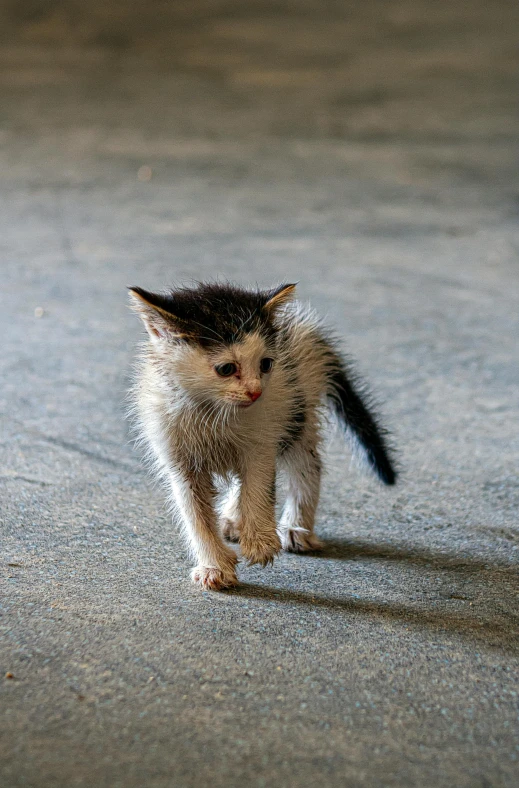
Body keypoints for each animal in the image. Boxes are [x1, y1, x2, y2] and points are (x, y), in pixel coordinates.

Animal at [128, 284, 396, 592]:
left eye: (266, 364)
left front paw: (259, 542)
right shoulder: (178, 455)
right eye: (226, 369)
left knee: (307, 465)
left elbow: (258, 486)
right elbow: (195, 515)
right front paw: (214, 566)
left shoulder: (262, 437)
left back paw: (295, 528)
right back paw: (234, 519)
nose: (255, 392)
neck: (212, 410)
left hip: (296, 411)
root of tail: (304, 327)